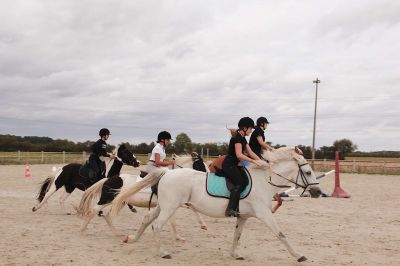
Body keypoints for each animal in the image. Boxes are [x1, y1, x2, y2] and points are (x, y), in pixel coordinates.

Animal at [74, 152, 209, 237]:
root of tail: (109, 179)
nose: (208, 174)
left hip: (120, 202)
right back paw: (82, 229)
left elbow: (184, 214)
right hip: (107, 199)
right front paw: (200, 226)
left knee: (107, 215)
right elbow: (188, 212)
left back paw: (117, 233)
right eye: (200, 164)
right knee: (94, 210)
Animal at [109, 148, 322, 262]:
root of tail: (167, 173)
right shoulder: (264, 214)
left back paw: (133, 239)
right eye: (308, 173)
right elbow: (281, 234)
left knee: (147, 219)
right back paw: (163, 252)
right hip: (170, 207)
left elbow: (237, 235)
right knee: (157, 225)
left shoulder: (243, 216)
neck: (265, 181)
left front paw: (234, 254)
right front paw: (299, 255)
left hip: (164, 205)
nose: (319, 193)